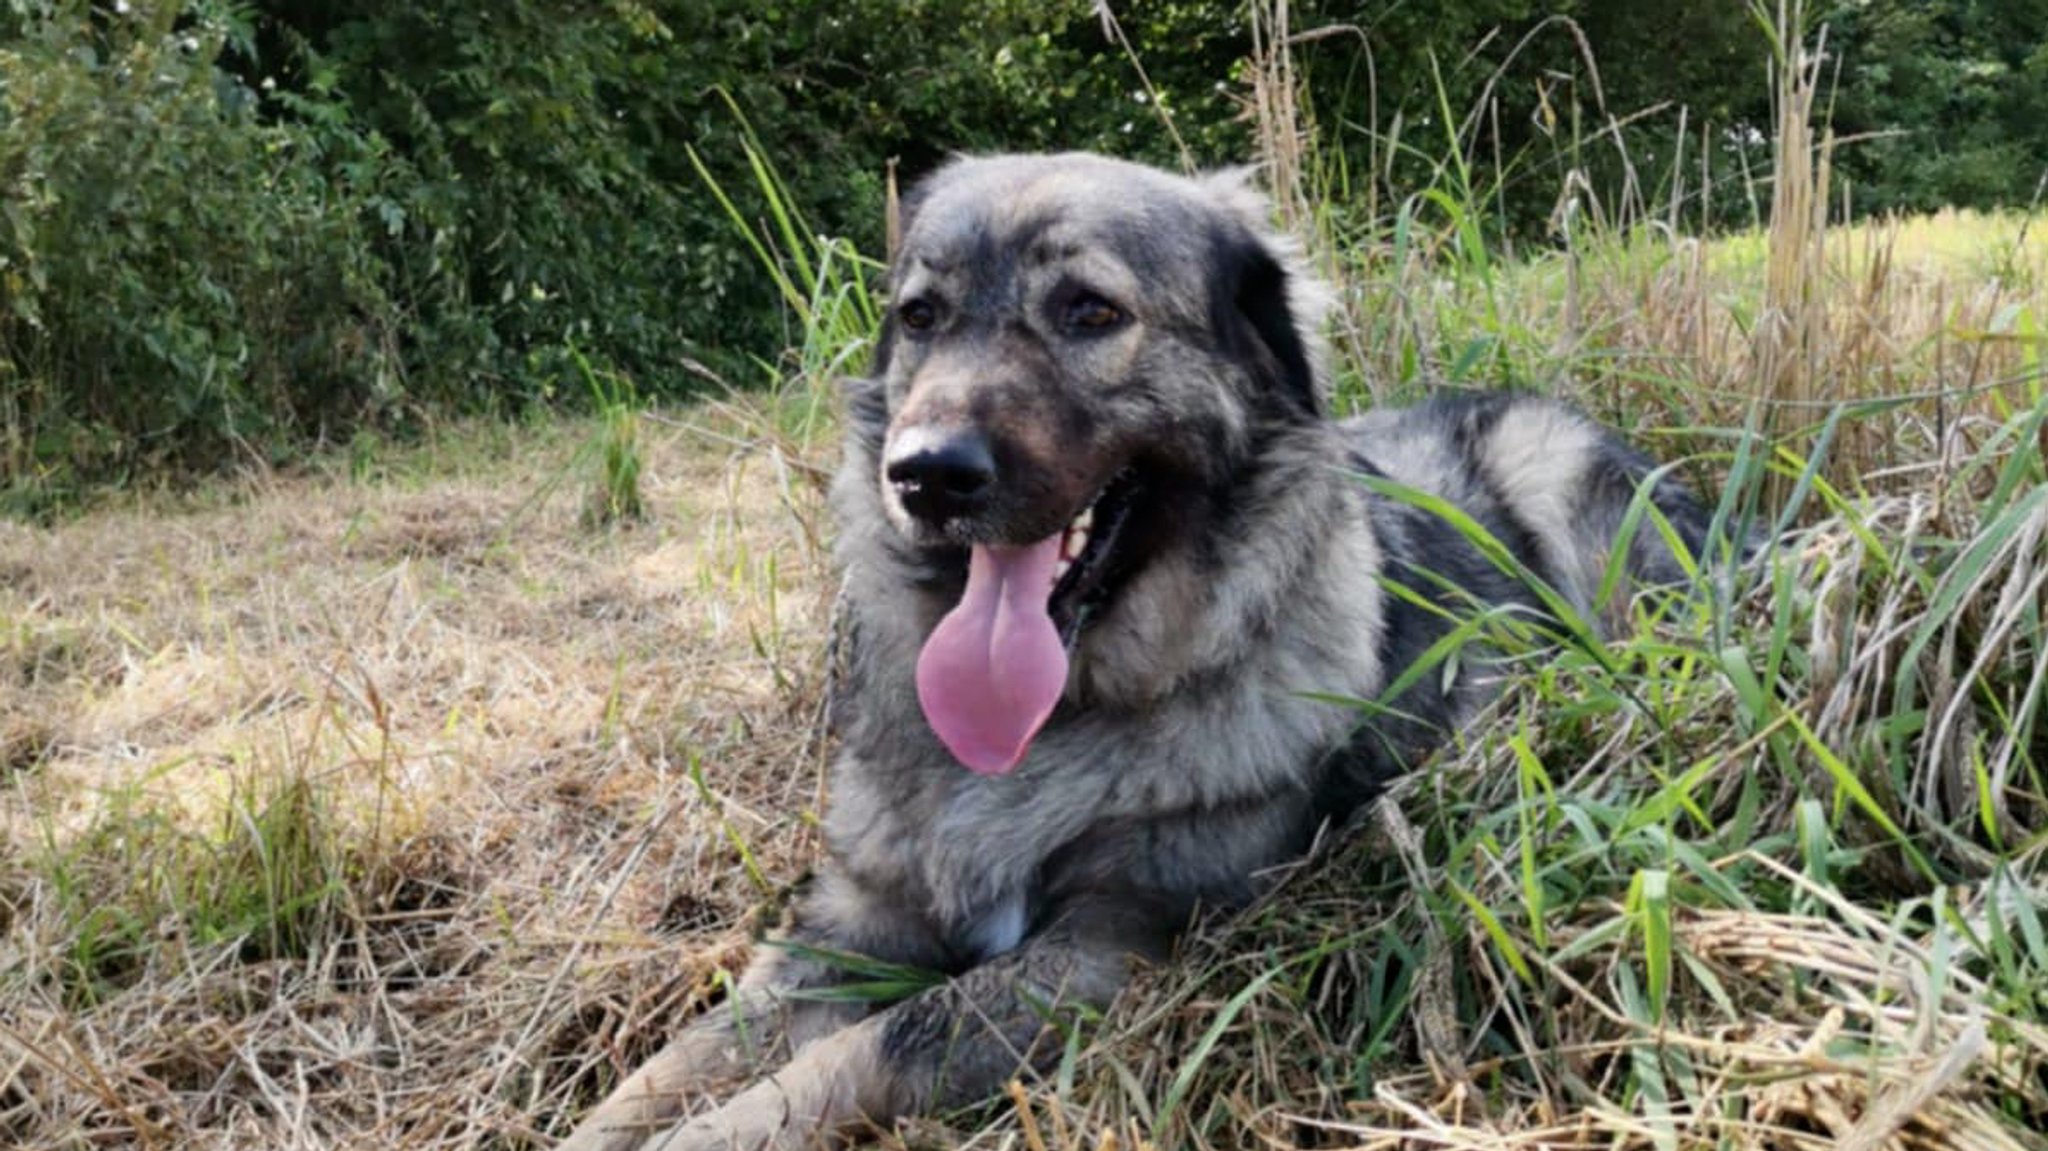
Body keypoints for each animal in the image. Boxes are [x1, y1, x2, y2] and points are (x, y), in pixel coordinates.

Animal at [552, 154, 1720, 1146]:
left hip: (1556, 478)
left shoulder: (1102, 947)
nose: (924, 474)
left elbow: (865, 1047)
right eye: (920, 317)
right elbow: (671, 1064)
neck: (1048, 725)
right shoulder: (848, 928)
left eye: (1089, 312)